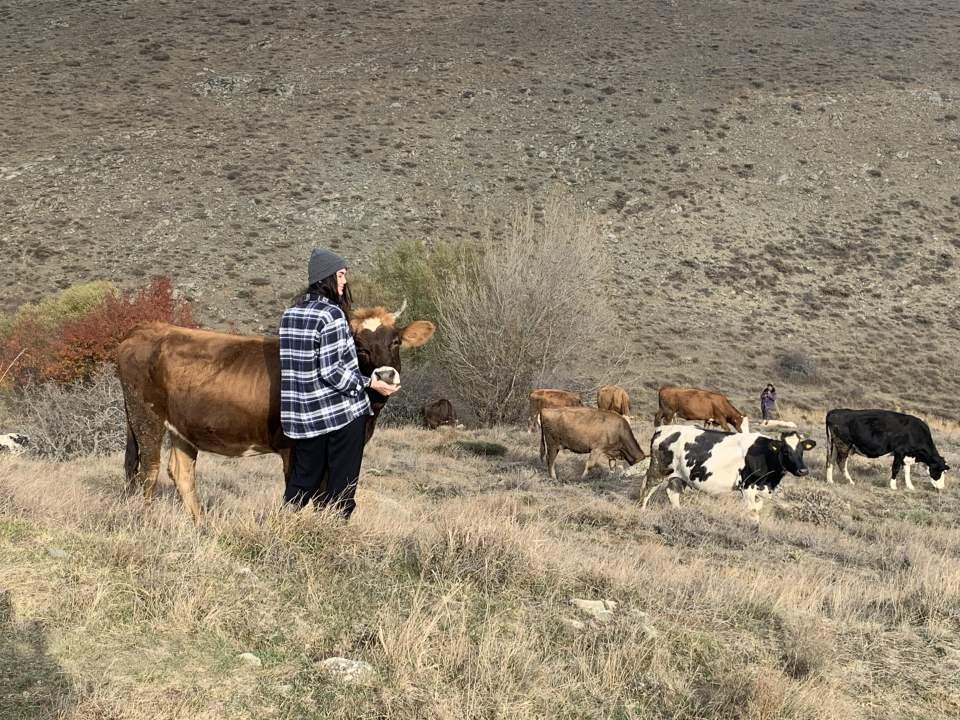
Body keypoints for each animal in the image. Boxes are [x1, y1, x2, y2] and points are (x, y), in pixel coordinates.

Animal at [116, 304, 436, 524]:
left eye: (396, 341)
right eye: (359, 345)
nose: (386, 375)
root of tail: (145, 329)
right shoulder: (295, 448)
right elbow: (305, 493)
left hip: (182, 427)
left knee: (181, 473)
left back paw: (201, 525)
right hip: (145, 416)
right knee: (149, 470)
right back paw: (148, 520)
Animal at [640, 422, 812, 516]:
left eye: (802, 451)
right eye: (786, 451)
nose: (803, 470)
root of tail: (663, 428)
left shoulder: (761, 490)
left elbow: (758, 508)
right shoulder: (748, 486)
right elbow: (752, 512)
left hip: (679, 475)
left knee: (673, 493)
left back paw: (678, 512)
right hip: (658, 470)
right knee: (647, 489)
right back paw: (642, 510)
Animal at [820, 408, 948, 492]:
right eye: (940, 471)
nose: (941, 487)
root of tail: (834, 411)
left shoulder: (907, 455)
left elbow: (907, 470)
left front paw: (910, 486)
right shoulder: (899, 451)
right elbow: (896, 468)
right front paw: (893, 486)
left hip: (834, 445)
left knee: (830, 461)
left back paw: (830, 481)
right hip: (844, 445)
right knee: (840, 462)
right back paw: (850, 481)